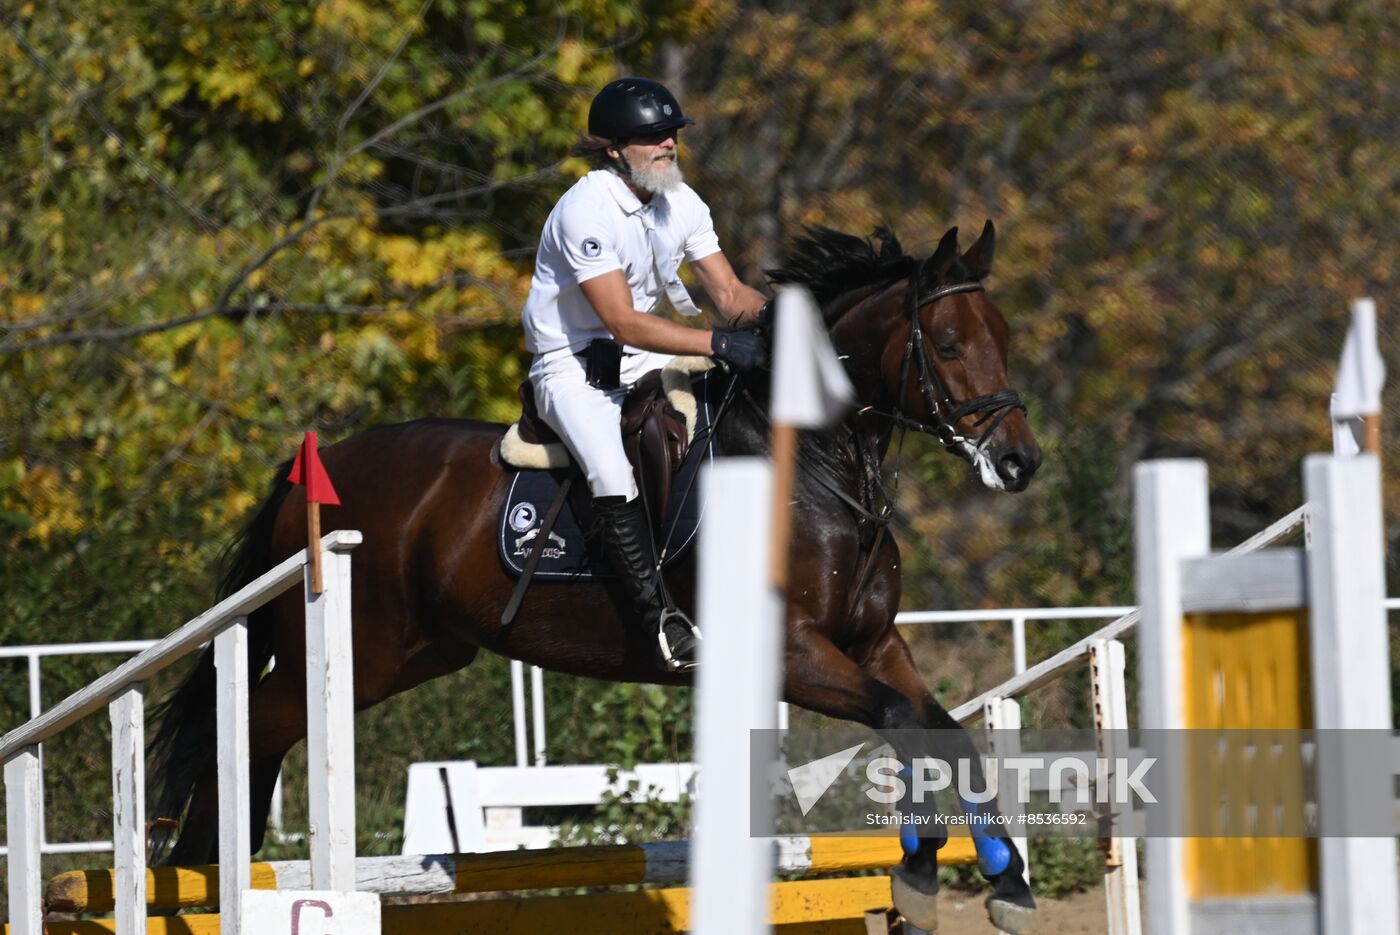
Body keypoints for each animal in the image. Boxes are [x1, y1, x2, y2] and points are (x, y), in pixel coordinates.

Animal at [150, 219, 1041, 929]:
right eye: (949, 343)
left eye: (1004, 335)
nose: (1020, 463)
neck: (817, 470)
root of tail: (313, 470)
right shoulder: (795, 652)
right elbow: (900, 717)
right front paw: (921, 866)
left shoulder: (874, 643)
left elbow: (942, 729)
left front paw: (1007, 882)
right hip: (357, 655)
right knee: (244, 730)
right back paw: (197, 879)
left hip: (417, 653)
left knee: (263, 735)